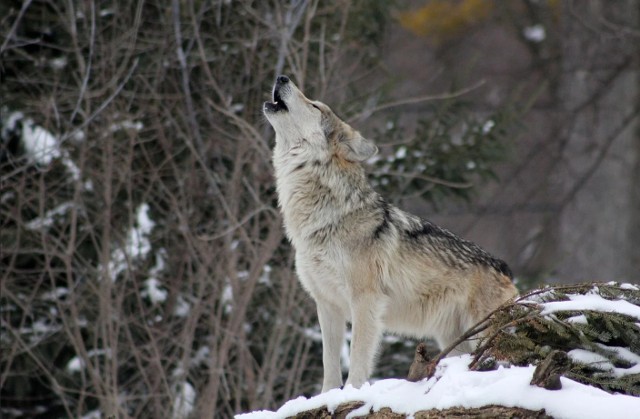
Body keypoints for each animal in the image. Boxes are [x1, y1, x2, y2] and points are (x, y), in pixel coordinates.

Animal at [262, 75, 516, 394]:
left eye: (315, 105)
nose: (281, 77)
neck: (325, 219)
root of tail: (505, 268)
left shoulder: (365, 301)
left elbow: (358, 358)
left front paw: (352, 393)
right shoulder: (327, 305)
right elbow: (329, 364)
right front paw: (327, 396)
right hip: (454, 341)